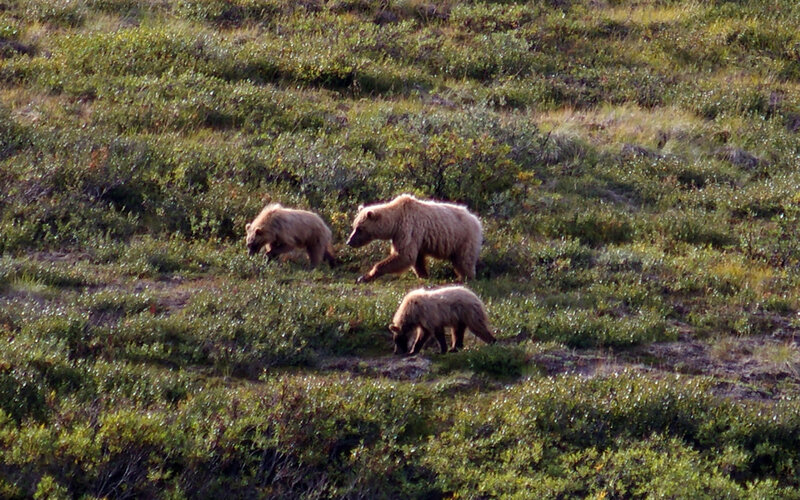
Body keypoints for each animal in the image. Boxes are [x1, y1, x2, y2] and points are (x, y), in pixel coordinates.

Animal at [346, 194, 482, 283]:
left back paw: (465, 278)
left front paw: (364, 277)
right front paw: (423, 275)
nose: (349, 242)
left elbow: (404, 255)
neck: (395, 222)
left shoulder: (407, 229)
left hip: (464, 238)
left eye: (359, 229)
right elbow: (416, 258)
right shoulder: (413, 236)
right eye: (354, 226)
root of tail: (476, 219)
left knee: (465, 260)